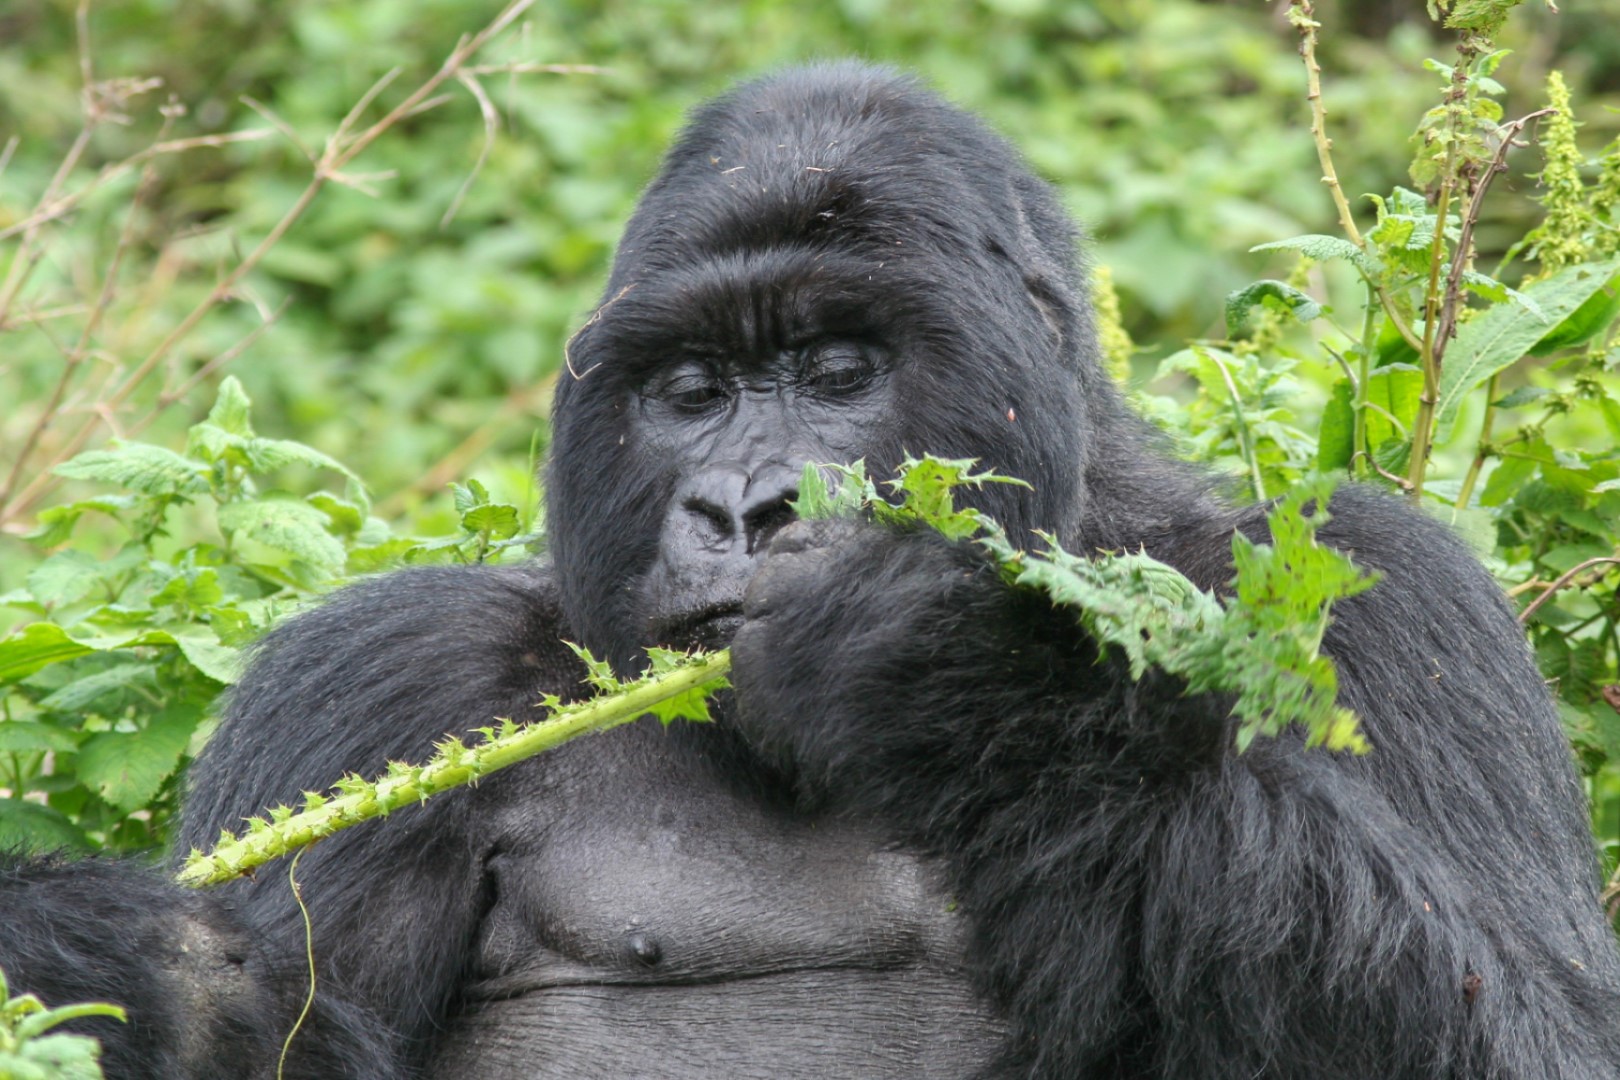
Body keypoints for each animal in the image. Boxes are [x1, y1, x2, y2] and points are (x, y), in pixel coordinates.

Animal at [3, 61, 1620, 1080]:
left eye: (840, 369)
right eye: (694, 391)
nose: (742, 505)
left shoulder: (1391, 593)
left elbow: (1539, 1027)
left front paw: (962, 681)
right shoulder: (375, 678)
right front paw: (114, 977)